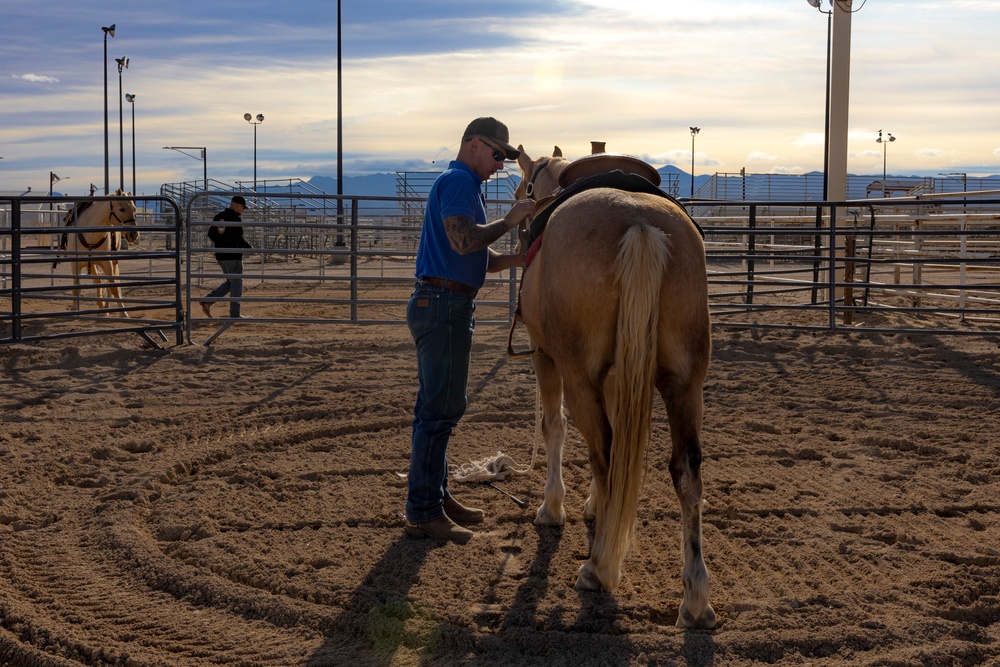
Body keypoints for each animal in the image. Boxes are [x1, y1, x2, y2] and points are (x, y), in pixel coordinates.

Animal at [54, 189, 139, 318]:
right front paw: (74, 309)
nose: (133, 234)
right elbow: (76, 287)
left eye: (134, 209)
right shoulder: (75, 263)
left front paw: (123, 313)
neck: (91, 234)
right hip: (91, 262)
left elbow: (113, 286)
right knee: (97, 278)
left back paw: (106, 308)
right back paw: (101, 305)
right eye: (122, 209)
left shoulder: (107, 262)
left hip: (111, 261)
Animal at [512, 146, 716, 632]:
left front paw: (554, 508)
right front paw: (592, 505)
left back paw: (599, 566)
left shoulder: (546, 356)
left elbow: (555, 428)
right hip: (686, 382)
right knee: (686, 470)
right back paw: (695, 598)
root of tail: (639, 223)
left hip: (576, 373)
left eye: (524, 187)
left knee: (603, 451)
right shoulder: (614, 374)